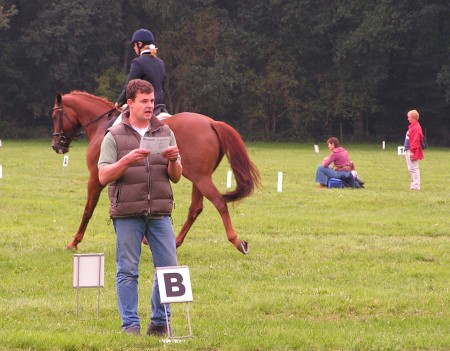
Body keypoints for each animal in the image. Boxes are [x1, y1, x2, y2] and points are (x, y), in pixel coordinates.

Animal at [51, 92, 260, 254]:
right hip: (199, 177)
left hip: (200, 178)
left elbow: (88, 210)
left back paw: (237, 241)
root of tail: (211, 122)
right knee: (195, 208)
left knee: (219, 202)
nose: (55, 146)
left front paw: (74, 242)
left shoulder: (96, 177)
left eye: (54, 116)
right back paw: (175, 242)